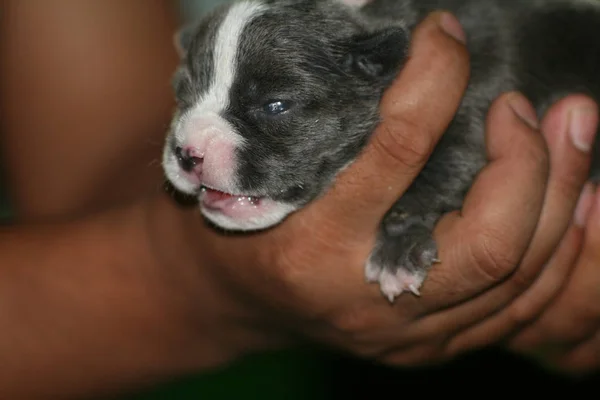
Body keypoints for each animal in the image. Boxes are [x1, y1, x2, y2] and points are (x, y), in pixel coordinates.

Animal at [162, 0, 600, 300]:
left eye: (275, 106)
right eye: (182, 93)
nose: (187, 152)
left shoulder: (478, 93)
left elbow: (447, 163)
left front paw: (398, 250)